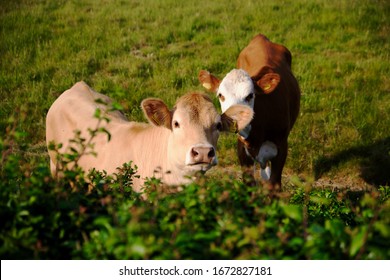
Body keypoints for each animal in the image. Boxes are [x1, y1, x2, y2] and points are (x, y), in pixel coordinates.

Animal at [200, 33, 300, 190]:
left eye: (250, 95)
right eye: (220, 95)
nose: (232, 120)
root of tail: (261, 38)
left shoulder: (282, 147)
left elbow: (274, 185)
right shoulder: (242, 149)